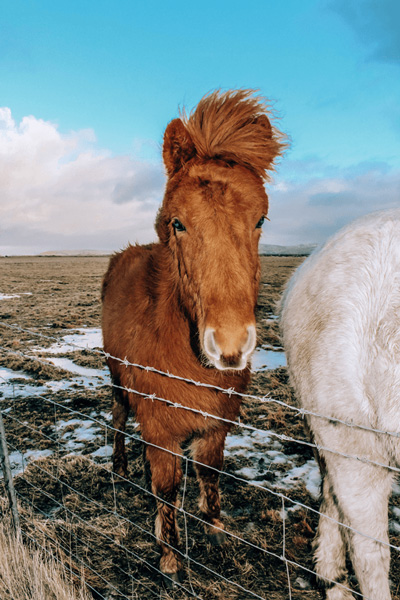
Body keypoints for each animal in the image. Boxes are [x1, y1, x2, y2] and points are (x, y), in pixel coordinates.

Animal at [101, 89, 286, 584]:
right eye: (178, 223)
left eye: (261, 220)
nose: (230, 347)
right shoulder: (160, 427)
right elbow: (166, 487)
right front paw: (170, 557)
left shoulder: (216, 422)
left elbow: (210, 473)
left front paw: (216, 526)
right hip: (115, 377)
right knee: (118, 418)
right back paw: (120, 466)